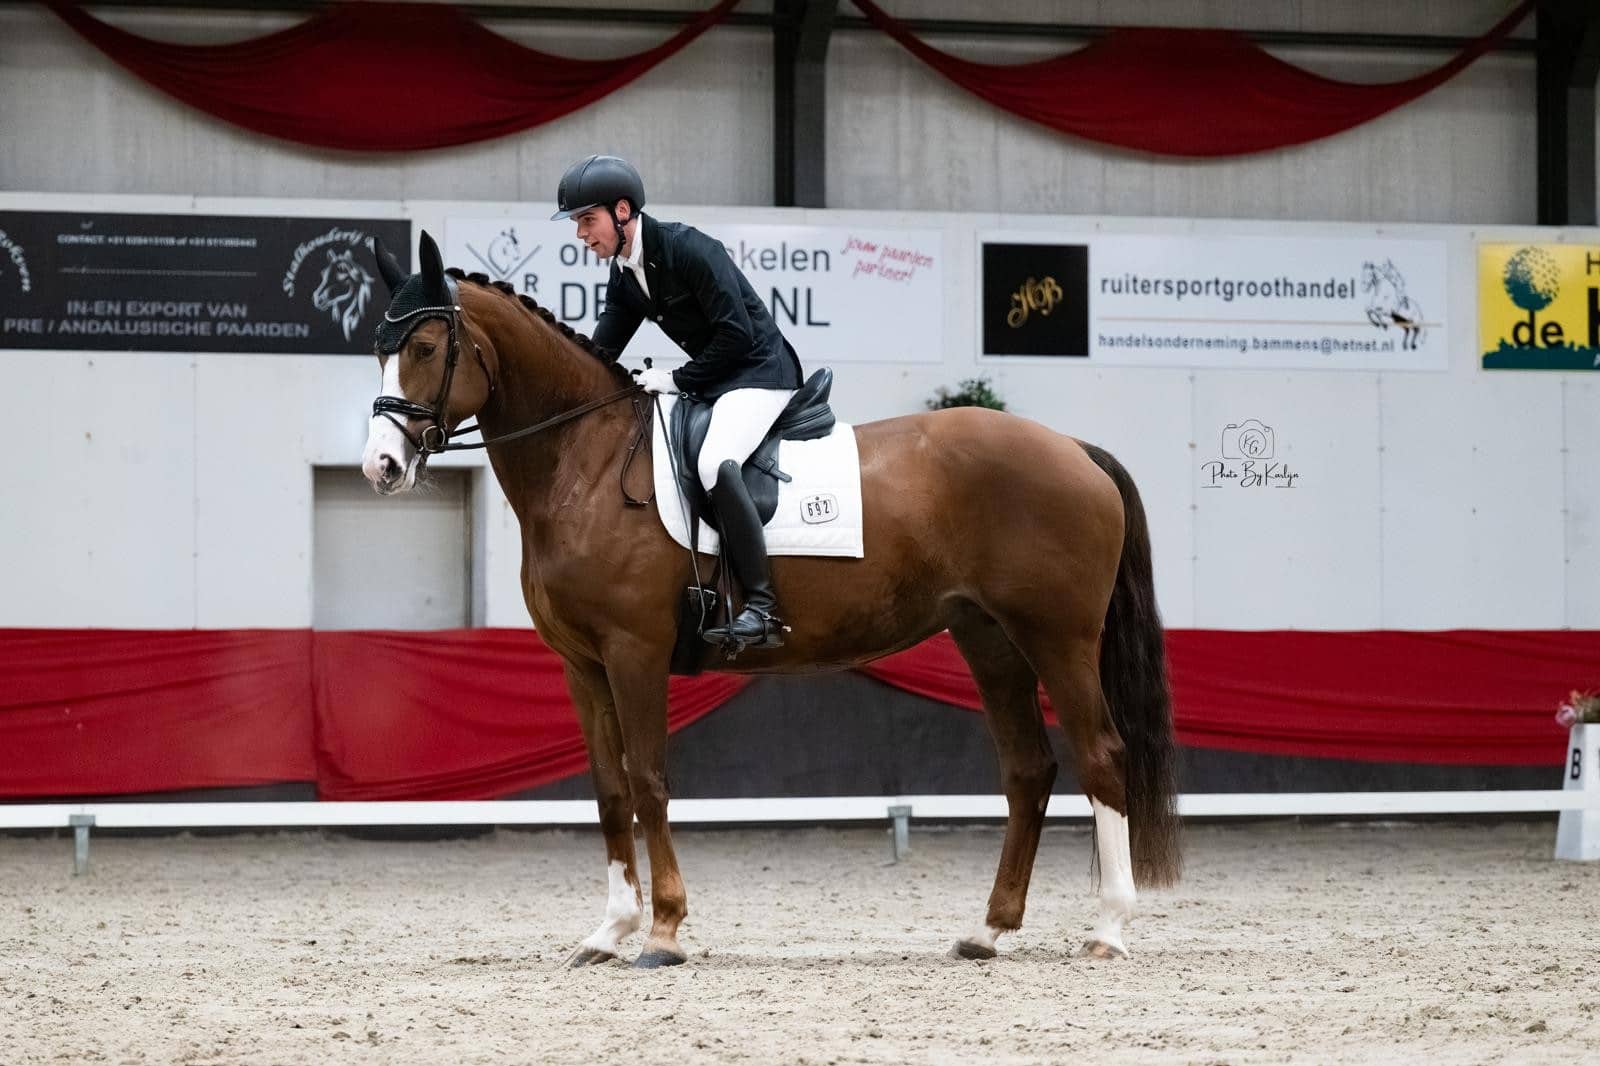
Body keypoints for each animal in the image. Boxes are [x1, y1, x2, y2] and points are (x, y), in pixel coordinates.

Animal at [360, 232, 1180, 968]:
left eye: (426, 347)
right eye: (377, 346)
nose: (382, 466)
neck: (584, 464)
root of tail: (1073, 449)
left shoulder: (634, 653)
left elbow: (649, 781)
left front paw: (662, 932)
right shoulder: (582, 665)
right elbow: (609, 790)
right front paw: (608, 933)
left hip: (1057, 637)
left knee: (1101, 755)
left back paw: (1108, 930)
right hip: (989, 638)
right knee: (1028, 770)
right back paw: (987, 932)